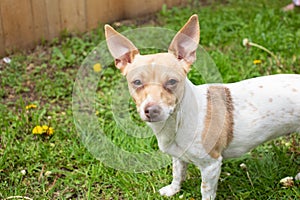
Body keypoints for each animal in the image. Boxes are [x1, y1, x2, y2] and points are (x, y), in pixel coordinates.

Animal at [104, 14, 298, 199]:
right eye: (136, 82)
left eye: (172, 81)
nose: (151, 110)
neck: (177, 122)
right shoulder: (178, 157)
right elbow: (177, 174)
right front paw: (173, 190)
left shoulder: (211, 165)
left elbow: (206, 191)